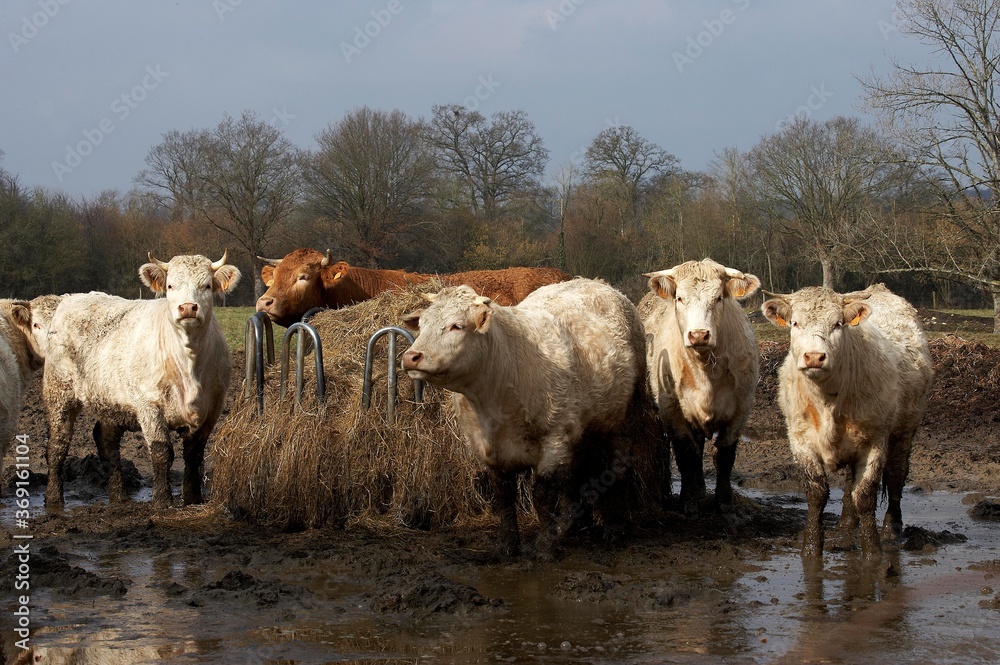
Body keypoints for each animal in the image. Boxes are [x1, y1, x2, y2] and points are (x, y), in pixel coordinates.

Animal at [42, 251, 240, 510]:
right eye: (170, 285)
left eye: (206, 285)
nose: (188, 307)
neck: (189, 363)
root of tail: (71, 298)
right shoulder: (148, 405)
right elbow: (161, 451)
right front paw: (162, 500)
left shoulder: (213, 406)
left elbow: (194, 453)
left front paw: (193, 498)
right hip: (59, 392)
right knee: (57, 445)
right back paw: (54, 499)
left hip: (111, 400)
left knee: (106, 440)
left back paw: (118, 495)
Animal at [400, 279, 653, 560]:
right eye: (422, 324)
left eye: (457, 325)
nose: (411, 356)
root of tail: (597, 283)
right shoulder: (486, 448)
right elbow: (503, 497)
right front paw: (508, 545)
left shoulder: (555, 439)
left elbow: (541, 496)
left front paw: (544, 547)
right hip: (584, 430)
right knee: (576, 476)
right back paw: (575, 526)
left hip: (624, 418)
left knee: (616, 468)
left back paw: (615, 527)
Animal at [639, 259, 761, 517]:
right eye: (680, 298)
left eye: (718, 298)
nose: (698, 335)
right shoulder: (671, 409)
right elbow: (687, 455)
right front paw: (689, 501)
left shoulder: (740, 410)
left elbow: (724, 456)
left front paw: (724, 503)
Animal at [761, 284, 933, 559]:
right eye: (795, 323)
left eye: (837, 324)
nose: (814, 357)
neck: (827, 401)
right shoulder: (800, 441)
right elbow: (817, 493)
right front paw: (811, 548)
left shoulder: (875, 440)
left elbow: (864, 495)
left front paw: (873, 551)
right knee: (850, 480)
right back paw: (846, 522)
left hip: (905, 430)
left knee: (896, 475)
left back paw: (892, 527)